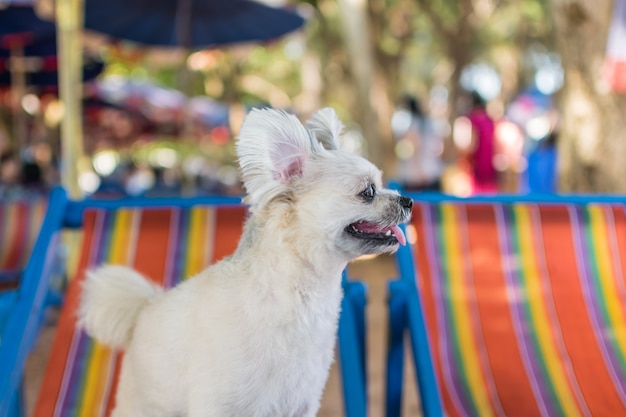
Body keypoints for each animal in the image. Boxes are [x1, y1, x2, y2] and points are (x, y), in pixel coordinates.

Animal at [79, 108, 410, 416]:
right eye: (368, 191)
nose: (407, 200)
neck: (298, 299)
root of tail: (142, 309)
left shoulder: (300, 403)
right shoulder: (219, 405)